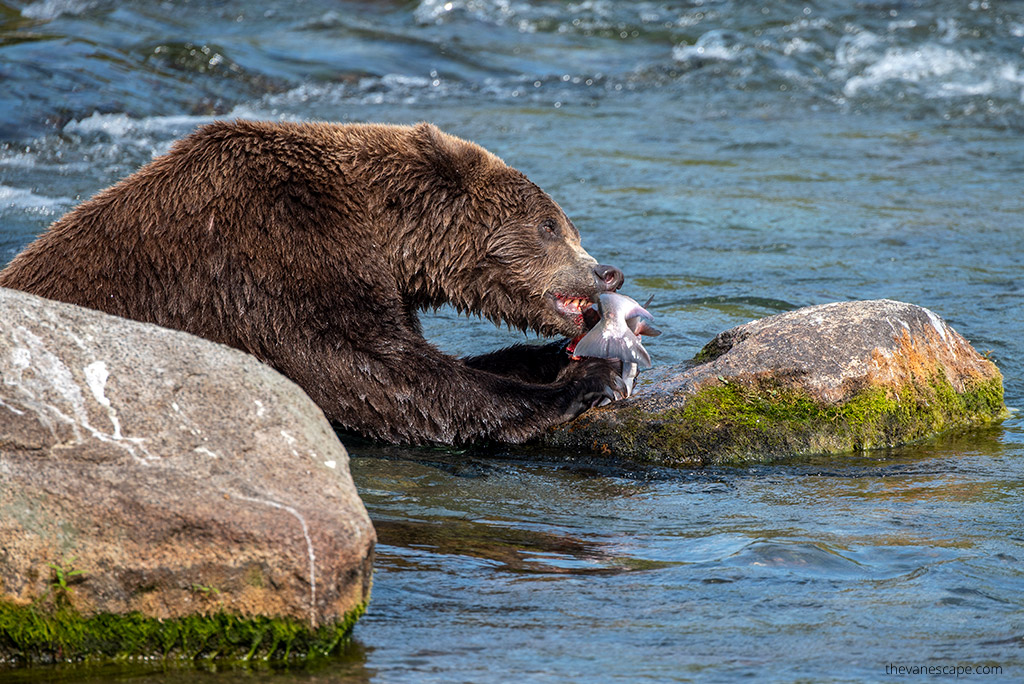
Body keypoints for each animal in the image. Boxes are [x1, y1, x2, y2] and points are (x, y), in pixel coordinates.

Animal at [0, 119, 626, 444]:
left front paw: (561, 357)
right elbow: (376, 375)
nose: (606, 270)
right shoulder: (275, 257)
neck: (380, 230)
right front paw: (583, 381)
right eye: (550, 225)